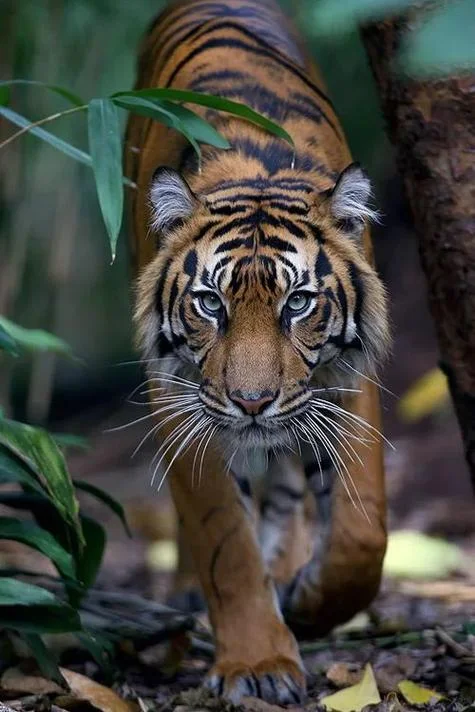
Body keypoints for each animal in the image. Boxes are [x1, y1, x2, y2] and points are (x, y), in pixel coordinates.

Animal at [125, 0, 390, 704]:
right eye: (209, 303)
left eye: (297, 303)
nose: (251, 402)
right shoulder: (178, 395)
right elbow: (224, 540)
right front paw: (258, 664)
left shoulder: (346, 379)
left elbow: (362, 529)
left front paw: (309, 604)